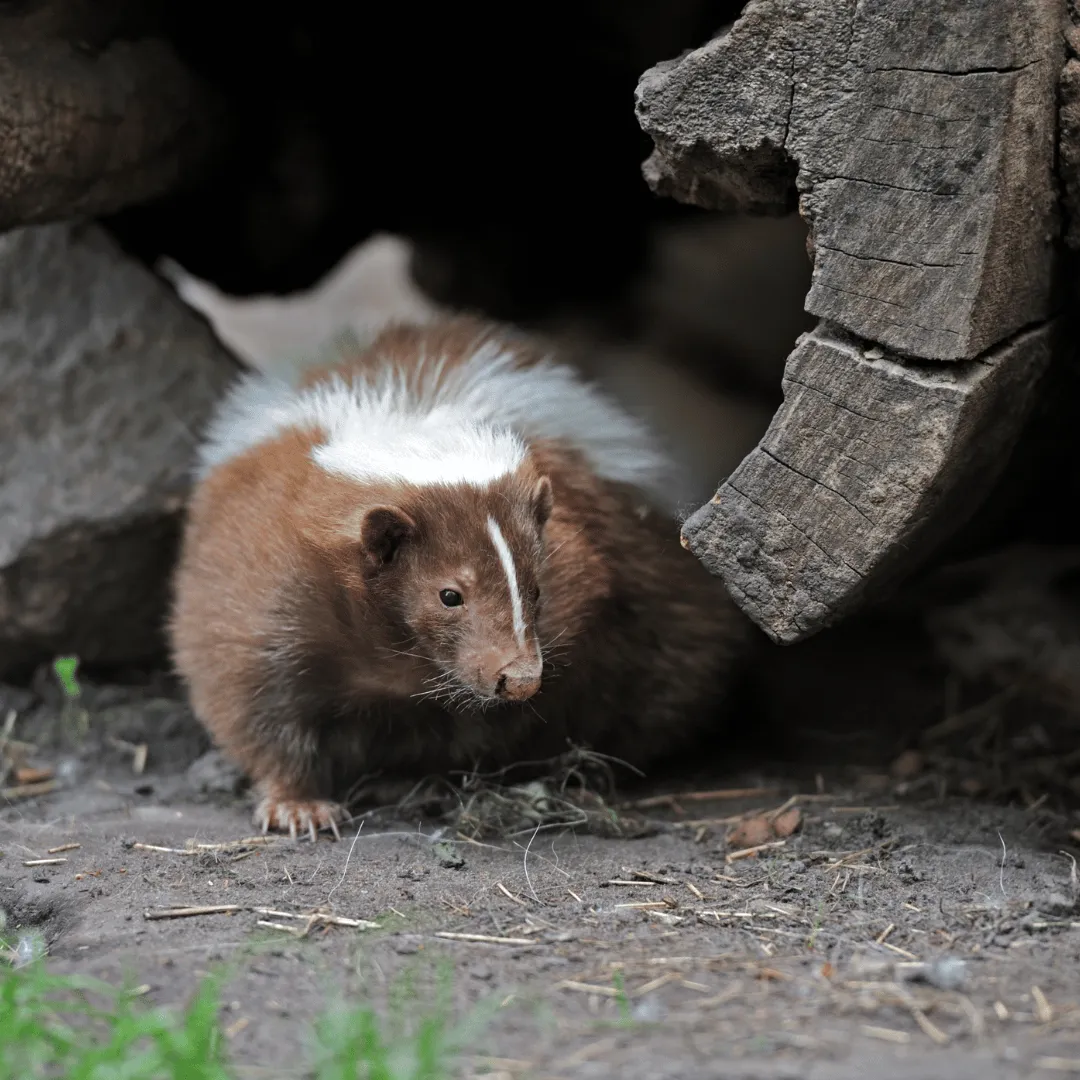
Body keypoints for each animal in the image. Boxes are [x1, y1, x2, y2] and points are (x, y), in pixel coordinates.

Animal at [170, 318, 750, 840]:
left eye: (536, 589)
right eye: (450, 595)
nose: (519, 676)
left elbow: (492, 726)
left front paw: (408, 778)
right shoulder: (263, 583)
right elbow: (254, 695)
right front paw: (298, 806)